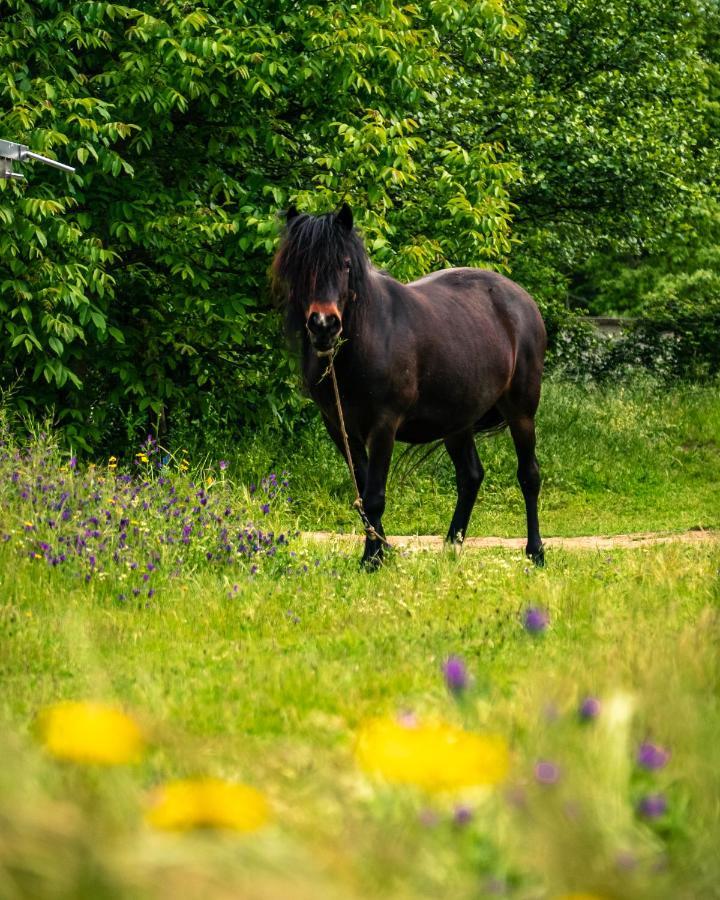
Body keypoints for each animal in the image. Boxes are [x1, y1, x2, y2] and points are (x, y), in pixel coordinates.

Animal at [272, 207, 548, 568]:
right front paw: (381, 551)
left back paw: (535, 552)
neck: (366, 340)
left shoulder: (383, 426)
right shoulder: (339, 428)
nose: (324, 325)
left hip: (521, 412)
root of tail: (522, 300)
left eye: (345, 264)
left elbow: (374, 496)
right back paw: (451, 547)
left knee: (529, 476)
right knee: (470, 476)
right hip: (457, 422)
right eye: (300, 265)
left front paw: (372, 559)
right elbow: (363, 492)